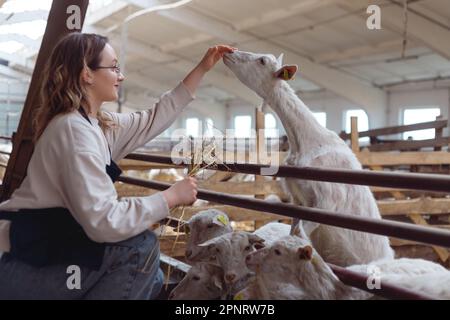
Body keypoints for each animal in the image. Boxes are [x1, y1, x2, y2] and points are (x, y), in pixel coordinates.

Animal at [225, 51, 394, 266]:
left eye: (262, 60)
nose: (229, 52)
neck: (307, 142)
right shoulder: (298, 201)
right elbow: (293, 231)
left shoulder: (326, 202)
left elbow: (298, 233)